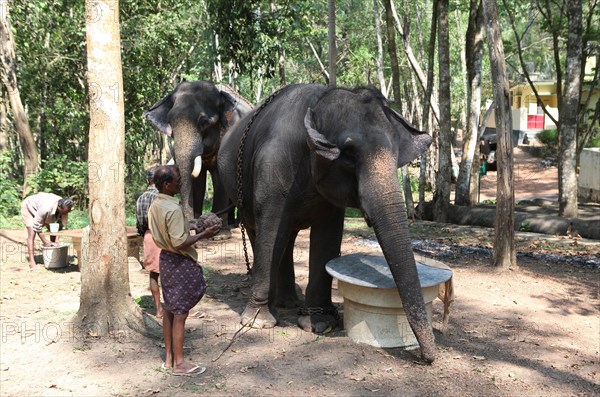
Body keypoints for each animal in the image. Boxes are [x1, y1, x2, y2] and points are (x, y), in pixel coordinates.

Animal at [145, 80, 253, 227]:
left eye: (203, 121)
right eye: (170, 121)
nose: (191, 223)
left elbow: (219, 178)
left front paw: (220, 226)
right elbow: (198, 181)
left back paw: (235, 224)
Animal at [217, 83, 436, 362]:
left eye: (397, 153)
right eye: (349, 155)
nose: (428, 357)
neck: (318, 102)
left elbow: (327, 237)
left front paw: (319, 324)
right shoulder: (271, 168)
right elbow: (270, 228)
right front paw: (257, 322)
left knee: (287, 237)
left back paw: (289, 303)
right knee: (262, 233)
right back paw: (273, 306)